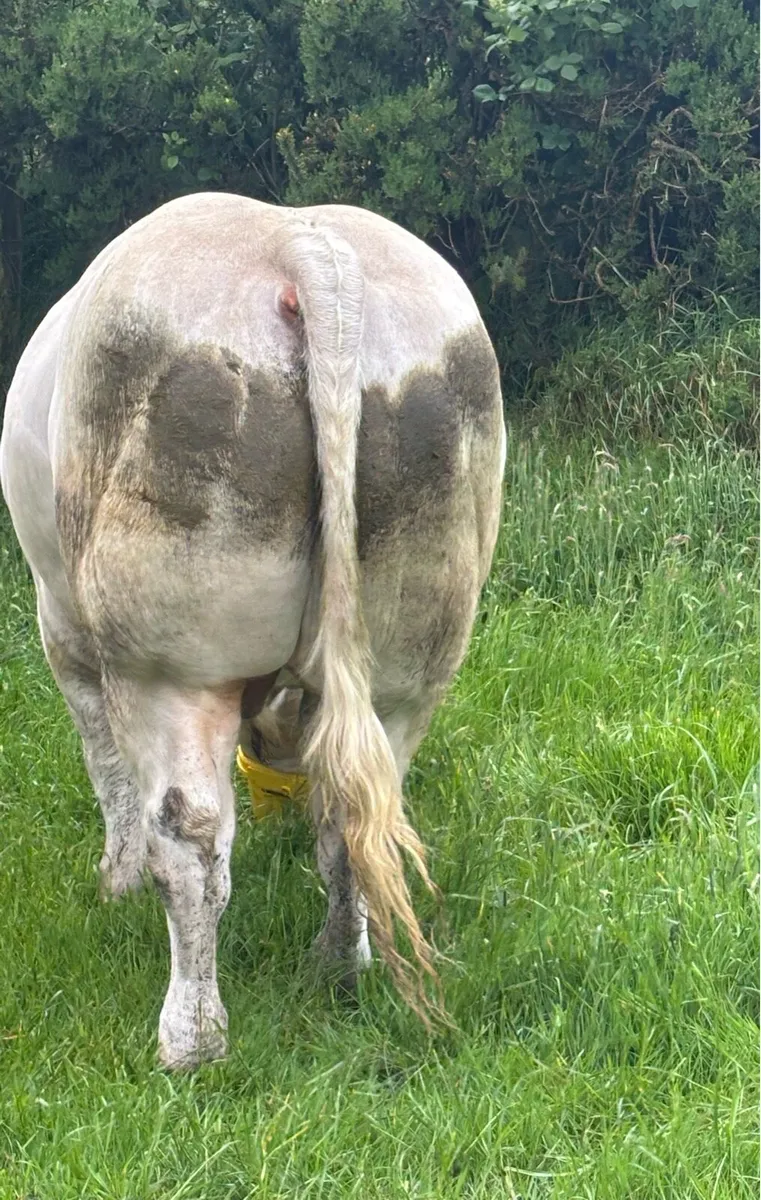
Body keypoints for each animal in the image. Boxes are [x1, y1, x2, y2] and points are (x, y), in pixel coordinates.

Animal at [0, 194, 505, 1068]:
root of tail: (300, 242)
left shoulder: (61, 628)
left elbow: (107, 768)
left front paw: (113, 881)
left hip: (169, 656)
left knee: (190, 837)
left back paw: (192, 1040)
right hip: (412, 652)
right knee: (354, 815)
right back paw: (338, 970)